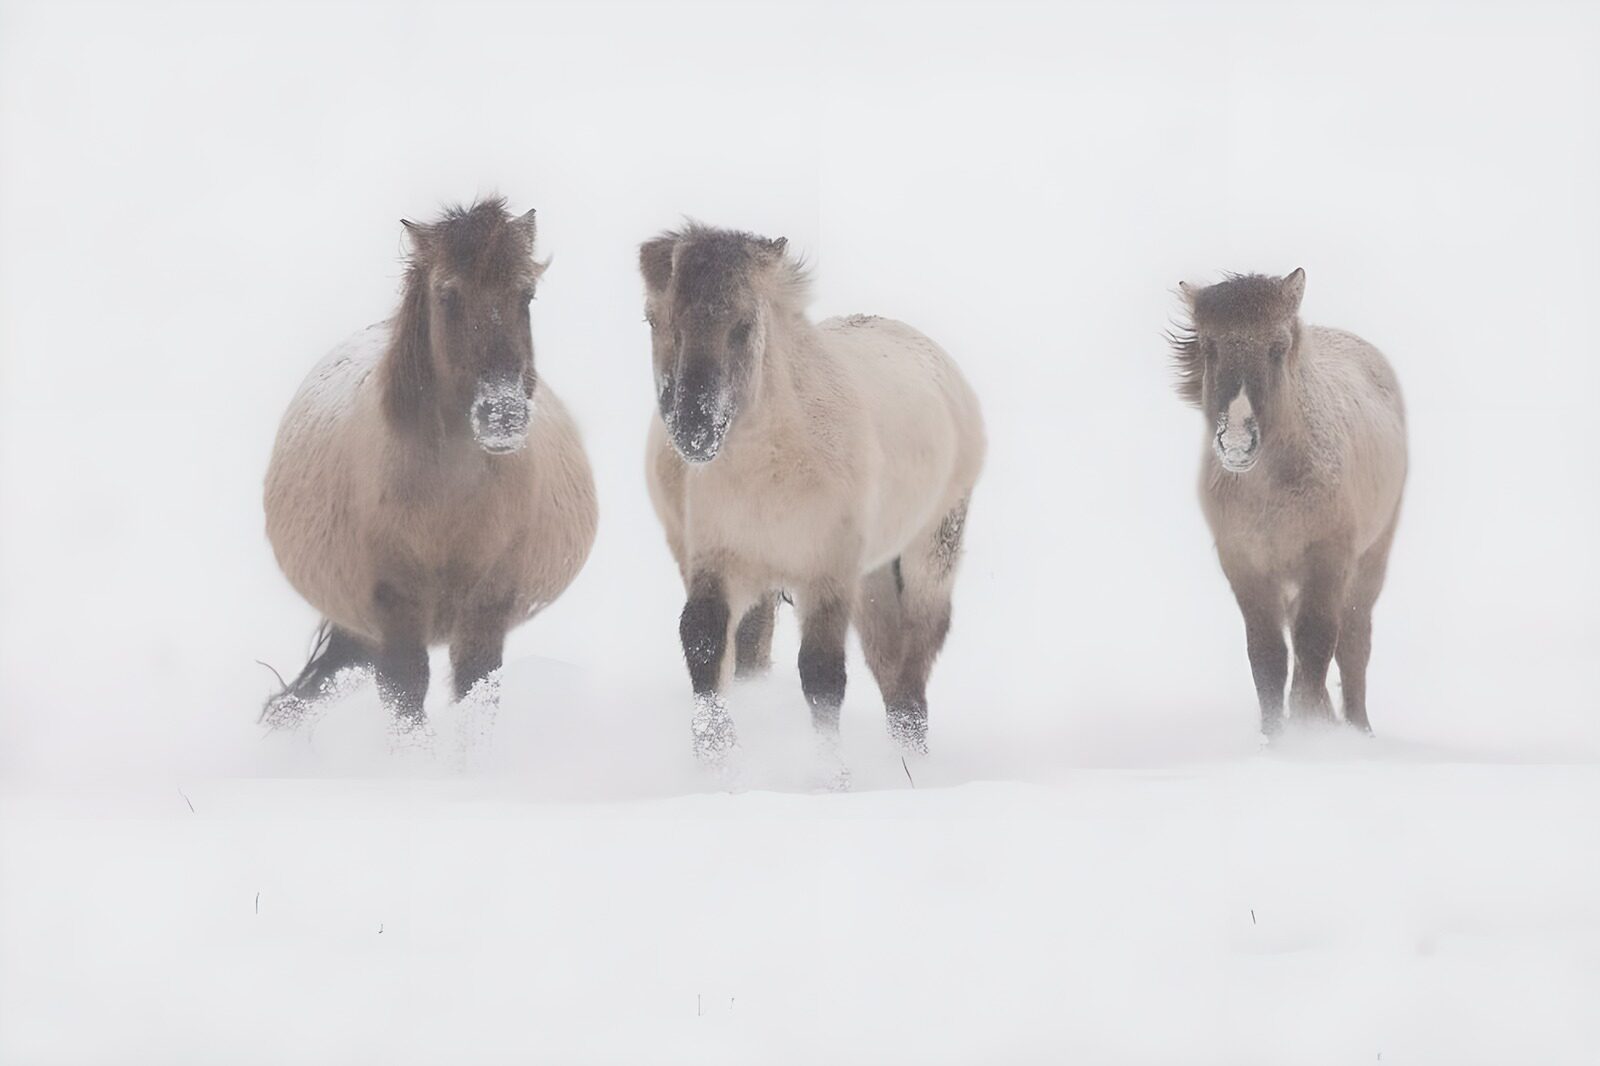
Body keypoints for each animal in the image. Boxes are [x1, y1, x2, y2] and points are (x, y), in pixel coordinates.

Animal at [262, 198, 597, 735]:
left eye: (526, 294)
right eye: (447, 295)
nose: (503, 416)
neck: (448, 503)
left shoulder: (486, 610)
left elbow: (475, 701)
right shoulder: (395, 610)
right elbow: (406, 704)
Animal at [639, 223, 985, 772]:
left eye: (743, 326)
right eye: (653, 319)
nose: (694, 430)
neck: (772, 472)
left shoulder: (827, 573)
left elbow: (822, 675)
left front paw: (831, 777)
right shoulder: (719, 561)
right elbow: (704, 642)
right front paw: (716, 760)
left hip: (928, 554)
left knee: (914, 660)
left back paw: (913, 763)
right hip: (871, 576)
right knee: (887, 660)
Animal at [1170, 269, 1406, 737]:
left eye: (1277, 347)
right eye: (1209, 346)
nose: (1237, 442)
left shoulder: (1327, 559)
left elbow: (1316, 647)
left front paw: (1309, 731)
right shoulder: (1245, 565)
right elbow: (1268, 656)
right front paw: (1276, 738)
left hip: (1370, 561)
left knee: (1353, 645)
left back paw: (1359, 729)